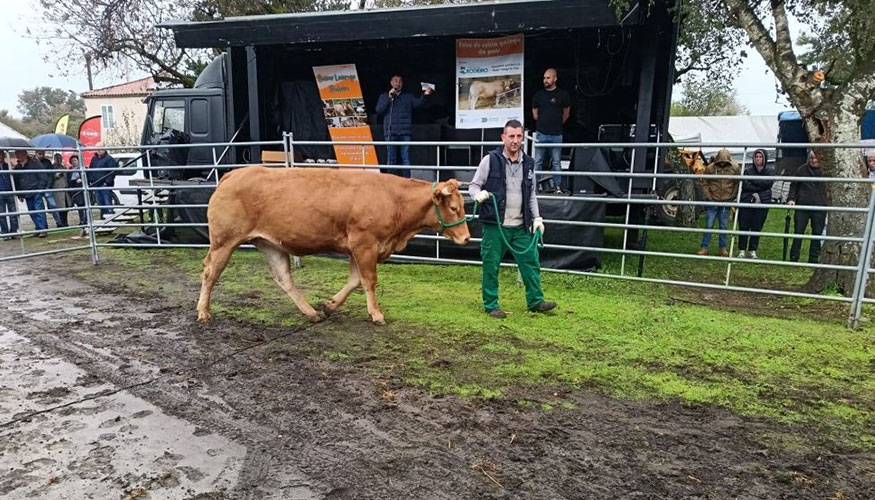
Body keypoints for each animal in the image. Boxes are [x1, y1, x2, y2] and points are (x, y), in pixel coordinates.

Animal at [198, 166, 472, 326]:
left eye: (462, 205)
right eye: (454, 207)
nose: (467, 239)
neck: (394, 200)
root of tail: (232, 174)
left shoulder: (356, 248)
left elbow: (354, 281)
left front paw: (329, 306)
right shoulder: (365, 243)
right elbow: (369, 280)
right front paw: (376, 314)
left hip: (271, 244)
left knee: (284, 278)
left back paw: (311, 312)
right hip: (224, 242)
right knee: (210, 273)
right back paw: (203, 312)